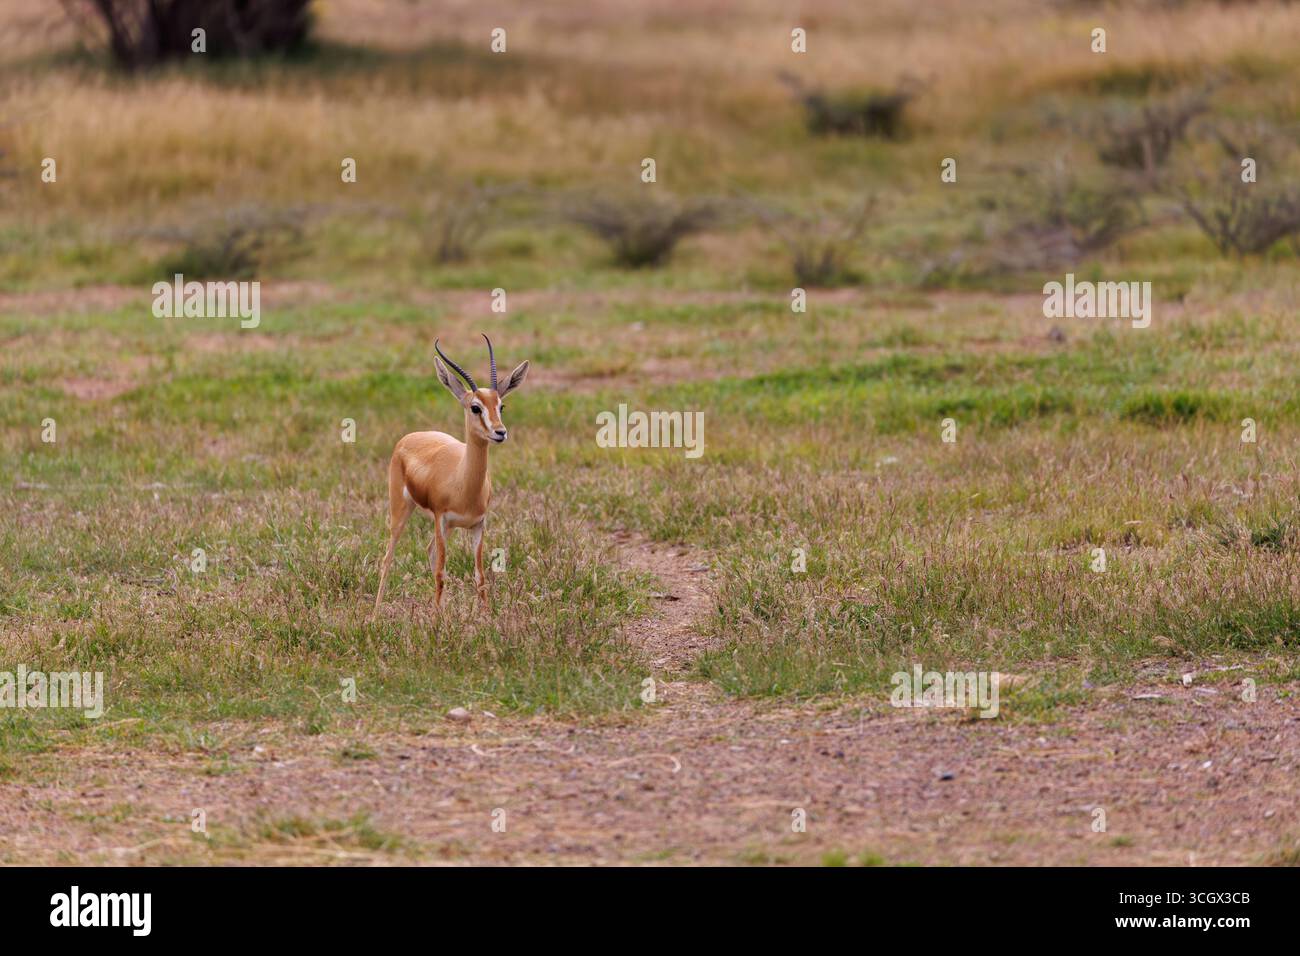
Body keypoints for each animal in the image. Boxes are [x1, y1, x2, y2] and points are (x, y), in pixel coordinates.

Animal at [372, 334, 529, 615]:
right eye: (475, 407)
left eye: (501, 405)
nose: (500, 432)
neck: (464, 483)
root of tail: (410, 436)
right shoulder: (441, 520)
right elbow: (441, 574)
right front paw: (436, 621)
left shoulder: (478, 525)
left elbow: (480, 576)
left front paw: (486, 617)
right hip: (401, 511)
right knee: (388, 557)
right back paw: (374, 616)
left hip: (448, 527)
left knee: (429, 551)